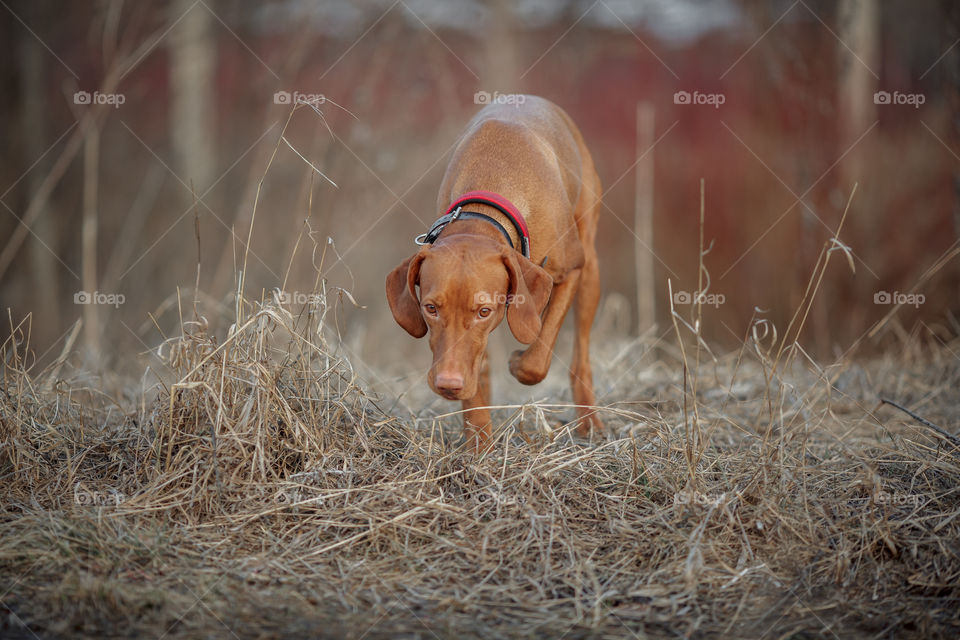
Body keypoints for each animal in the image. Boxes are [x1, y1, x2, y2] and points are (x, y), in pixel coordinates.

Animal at [386, 95, 604, 450]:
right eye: (430, 308)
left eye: (484, 311)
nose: (448, 383)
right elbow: (478, 374)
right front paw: (479, 446)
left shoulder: (570, 270)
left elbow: (537, 357)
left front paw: (519, 362)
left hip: (590, 268)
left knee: (580, 357)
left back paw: (589, 422)